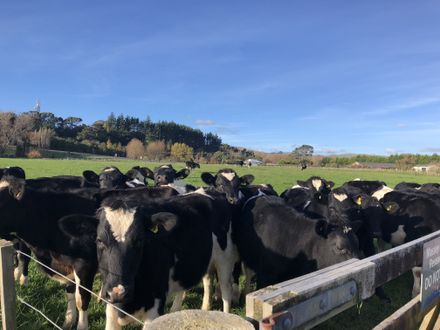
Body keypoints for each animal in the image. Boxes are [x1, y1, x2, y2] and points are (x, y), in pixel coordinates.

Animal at [0, 169, 99, 328]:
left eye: (1, 201)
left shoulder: (85, 265)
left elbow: (82, 299)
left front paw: (82, 326)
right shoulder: (67, 266)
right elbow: (70, 292)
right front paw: (69, 320)